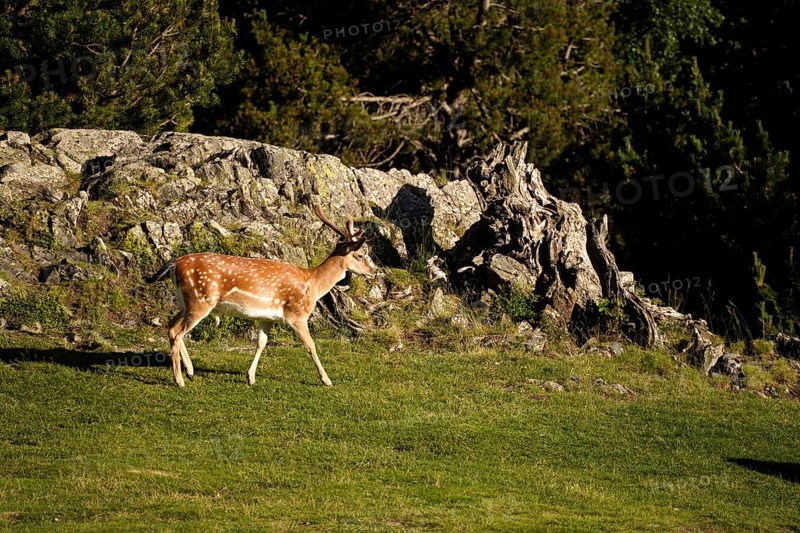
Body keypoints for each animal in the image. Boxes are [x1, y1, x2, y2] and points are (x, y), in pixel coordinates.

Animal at [146, 205, 376, 388]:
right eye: (360, 255)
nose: (372, 271)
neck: (313, 284)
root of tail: (174, 263)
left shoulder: (267, 318)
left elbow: (261, 343)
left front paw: (250, 377)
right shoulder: (296, 314)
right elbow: (311, 346)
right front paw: (326, 380)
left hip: (185, 301)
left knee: (171, 326)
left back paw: (191, 372)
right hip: (200, 299)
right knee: (177, 332)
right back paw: (180, 380)